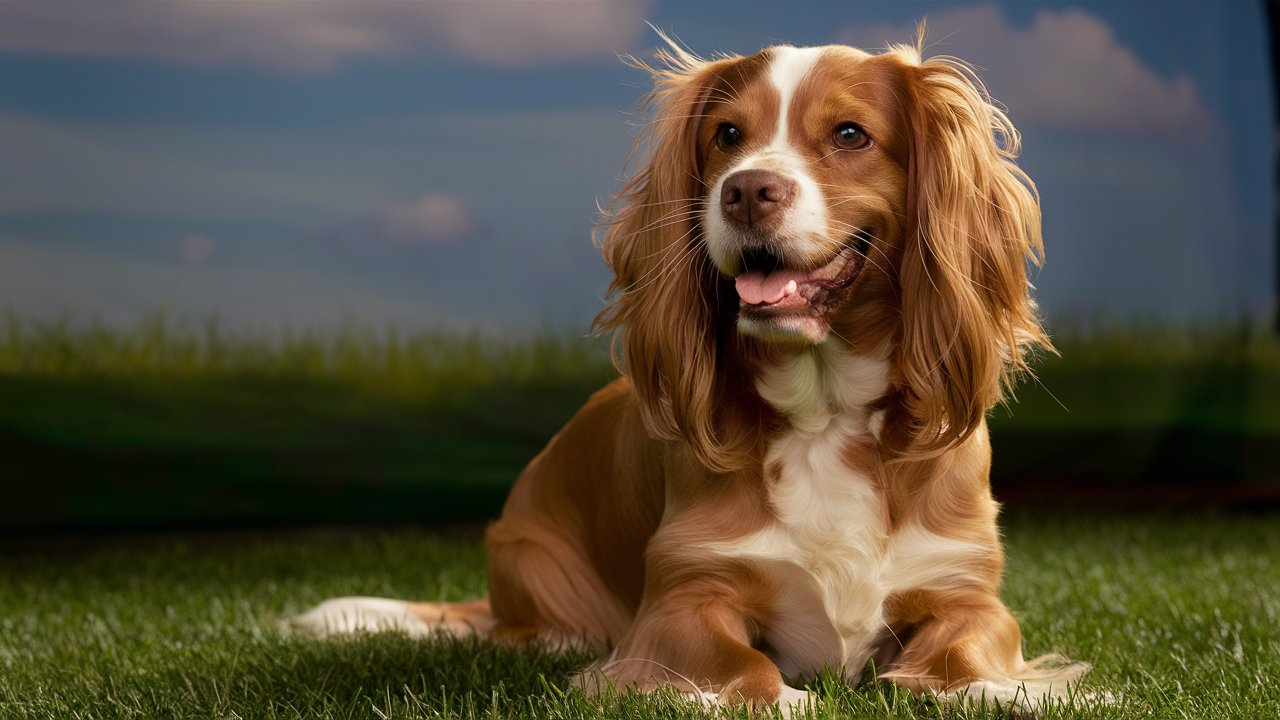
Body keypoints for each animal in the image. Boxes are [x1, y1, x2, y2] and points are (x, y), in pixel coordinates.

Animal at [296, 32, 1090, 707]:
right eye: (727, 136)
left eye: (850, 135)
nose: (745, 190)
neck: (825, 413)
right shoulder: (682, 596)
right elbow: (744, 667)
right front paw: (785, 697)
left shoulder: (967, 591)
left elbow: (969, 655)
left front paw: (998, 690)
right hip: (526, 556)